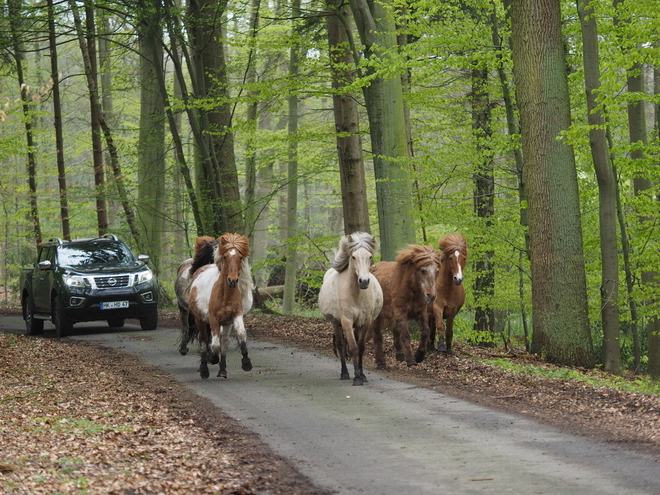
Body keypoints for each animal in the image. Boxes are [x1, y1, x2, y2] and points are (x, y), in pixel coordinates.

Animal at [191, 232, 255, 380]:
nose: (232, 281)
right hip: (200, 319)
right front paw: (212, 358)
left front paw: (246, 363)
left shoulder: (236, 316)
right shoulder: (213, 319)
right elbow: (214, 345)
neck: (225, 295)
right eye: (225, 257)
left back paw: (222, 370)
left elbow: (241, 334)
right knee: (204, 340)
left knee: (224, 342)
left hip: (226, 324)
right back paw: (204, 369)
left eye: (240, 257)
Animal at [318, 232, 384, 388]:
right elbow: (353, 347)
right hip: (336, 323)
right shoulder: (346, 321)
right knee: (341, 346)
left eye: (370, 256)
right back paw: (345, 373)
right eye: (353, 257)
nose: (364, 281)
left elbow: (361, 348)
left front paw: (362, 375)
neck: (356, 294)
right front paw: (357, 378)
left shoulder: (365, 322)